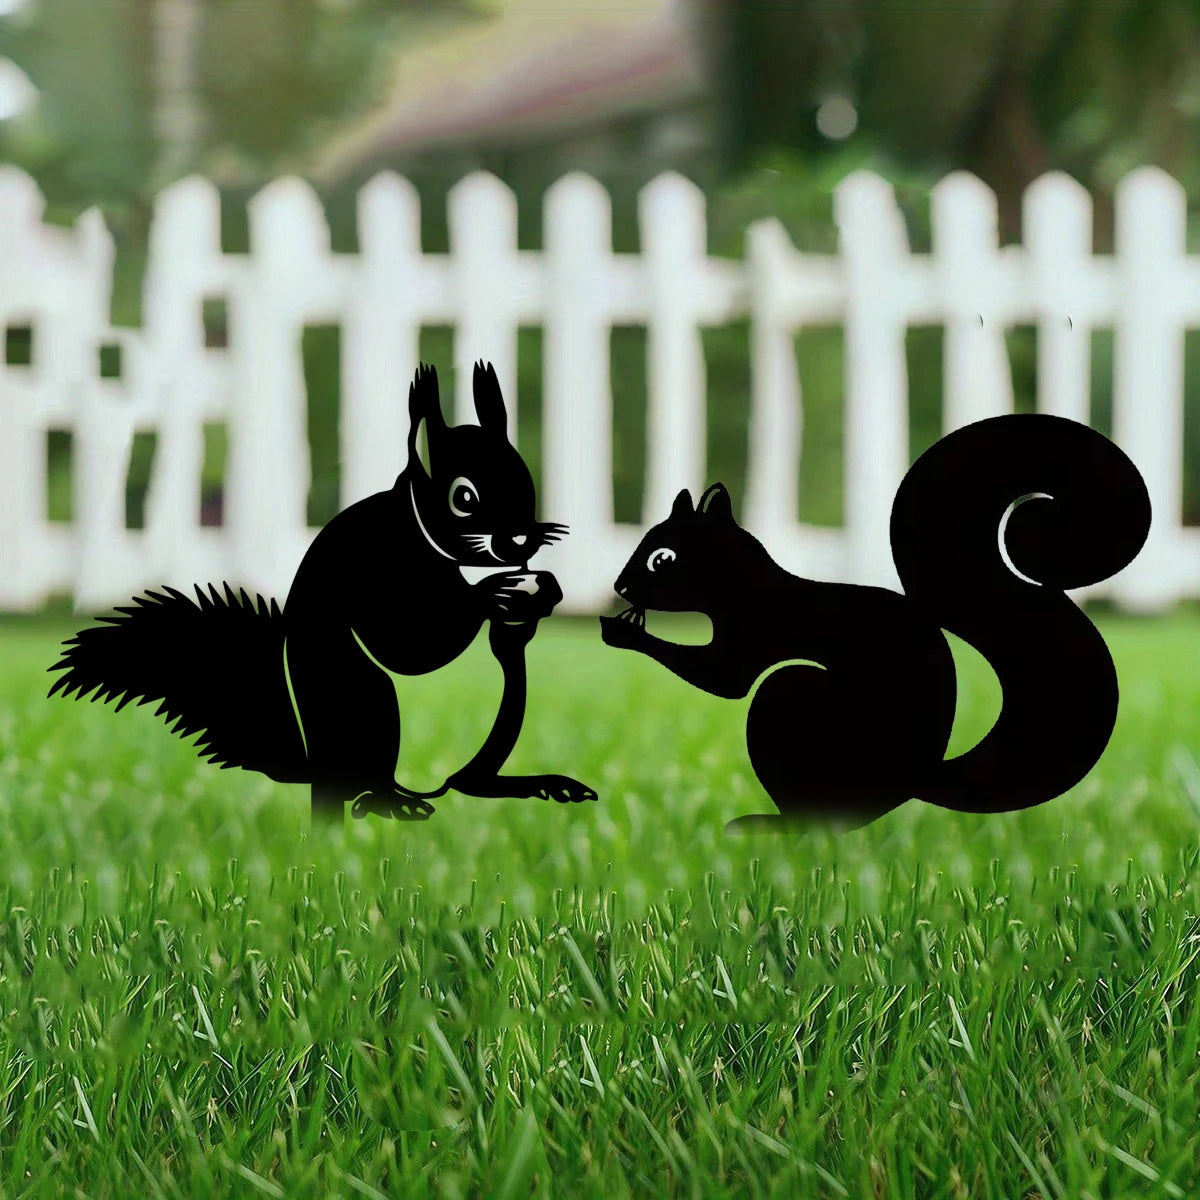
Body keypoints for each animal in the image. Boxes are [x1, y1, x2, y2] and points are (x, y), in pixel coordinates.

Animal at [49, 361, 597, 820]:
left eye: (525, 478)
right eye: (464, 497)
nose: (521, 539)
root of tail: (318, 766)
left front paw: (542, 591)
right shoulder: (377, 570)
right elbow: (408, 643)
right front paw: (493, 594)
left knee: (475, 781)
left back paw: (537, 784)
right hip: (368, 705)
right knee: (368, 782)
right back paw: (388, 801)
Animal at [600, 414, 1152, 831]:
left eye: (663, 559)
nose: (621, 587)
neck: (747, 587)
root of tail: (914, 780)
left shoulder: (753, 633)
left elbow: (725, 680)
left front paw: (623, 631)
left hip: (793, 704)